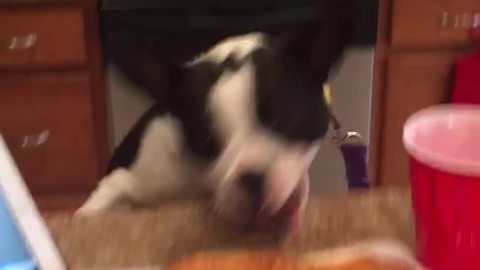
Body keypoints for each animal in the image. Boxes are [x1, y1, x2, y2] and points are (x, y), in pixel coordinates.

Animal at [79, 20, 348, 233]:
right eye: (206, 142)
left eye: (283, 120)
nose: (252, 178)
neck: (199, 188)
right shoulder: (126, 179)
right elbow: (96, 204)